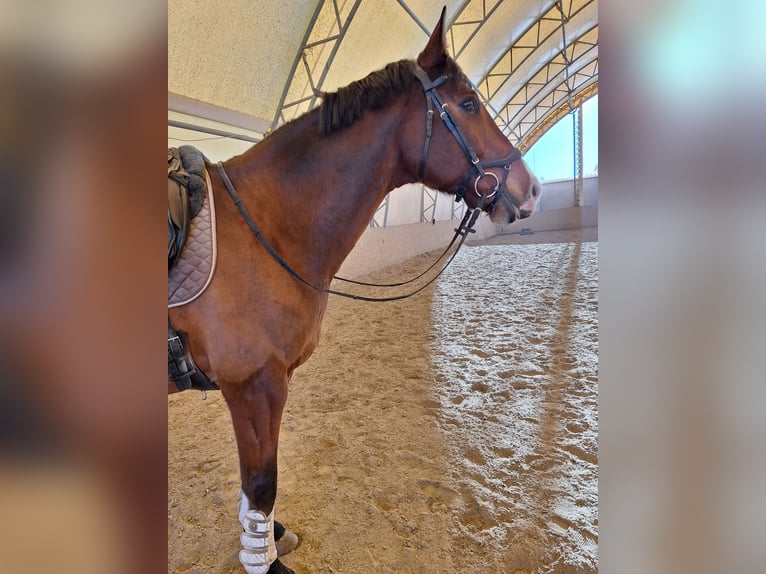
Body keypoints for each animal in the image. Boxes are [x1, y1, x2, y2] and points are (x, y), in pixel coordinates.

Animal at [168, 9, 540, 574]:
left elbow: (254, 482)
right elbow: (262, 482)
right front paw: (264, 560)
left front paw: (270, 537)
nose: (531, 189)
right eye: (470, 104)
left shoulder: (261, 388)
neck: (265, 228)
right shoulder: (254, 386)